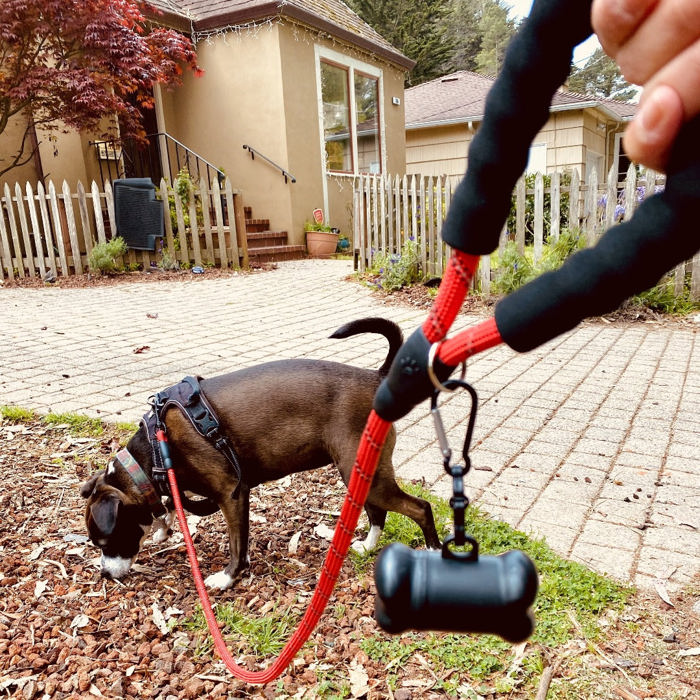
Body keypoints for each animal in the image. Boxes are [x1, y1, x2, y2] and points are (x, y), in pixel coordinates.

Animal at [80, 318, 438, 592]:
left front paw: (227, 578)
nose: (104, 573)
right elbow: (172, 505)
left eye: (104, 541)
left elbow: (237, 544)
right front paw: (164, 527)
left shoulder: (232, 494)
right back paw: (366, 545)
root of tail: (376, 378)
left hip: (366, 475)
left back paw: (434, 550)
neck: (155, 451)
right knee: (378, 513)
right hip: (361, 473)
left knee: (420, 508)